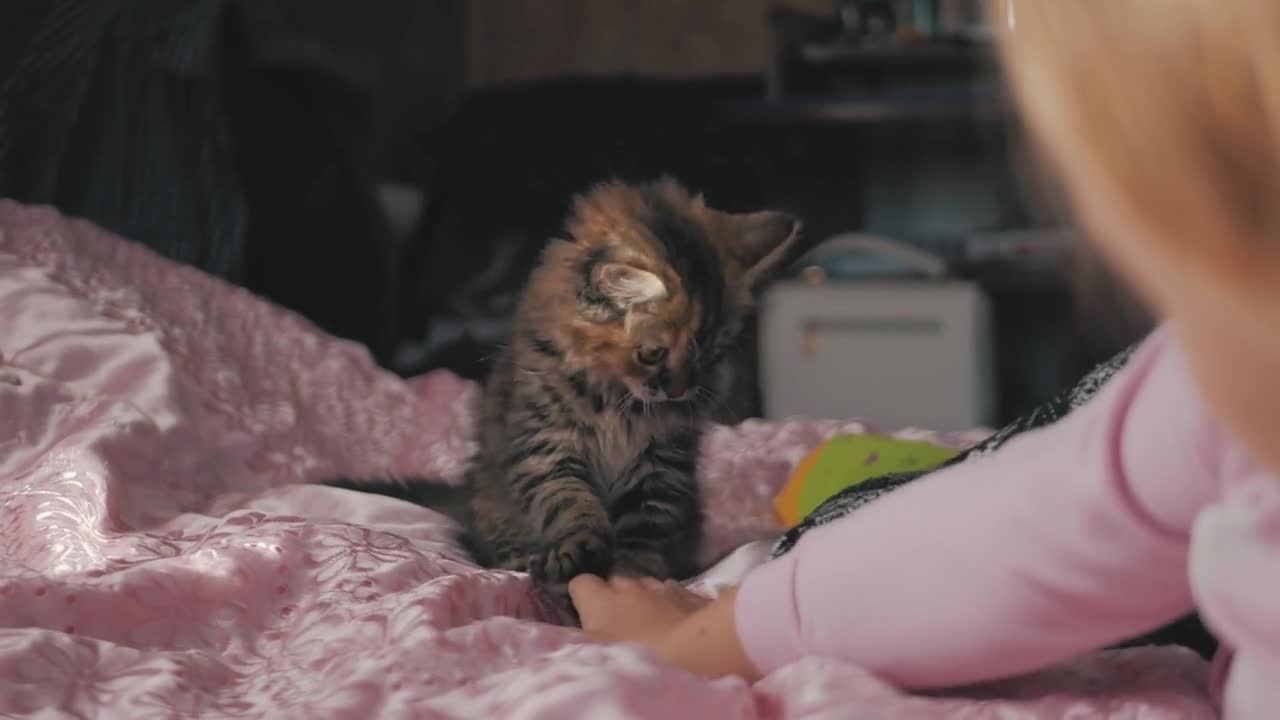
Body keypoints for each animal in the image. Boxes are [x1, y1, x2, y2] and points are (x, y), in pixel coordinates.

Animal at [330, 179, 798, 589]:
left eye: (709, 355)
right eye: (653, 354)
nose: (679, 391)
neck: (617, 403)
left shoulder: (661, 468)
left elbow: (643, 533)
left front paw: (633, 579)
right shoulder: (545, 446)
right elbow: (569, 502)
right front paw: (578, 551)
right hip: (493, 499)